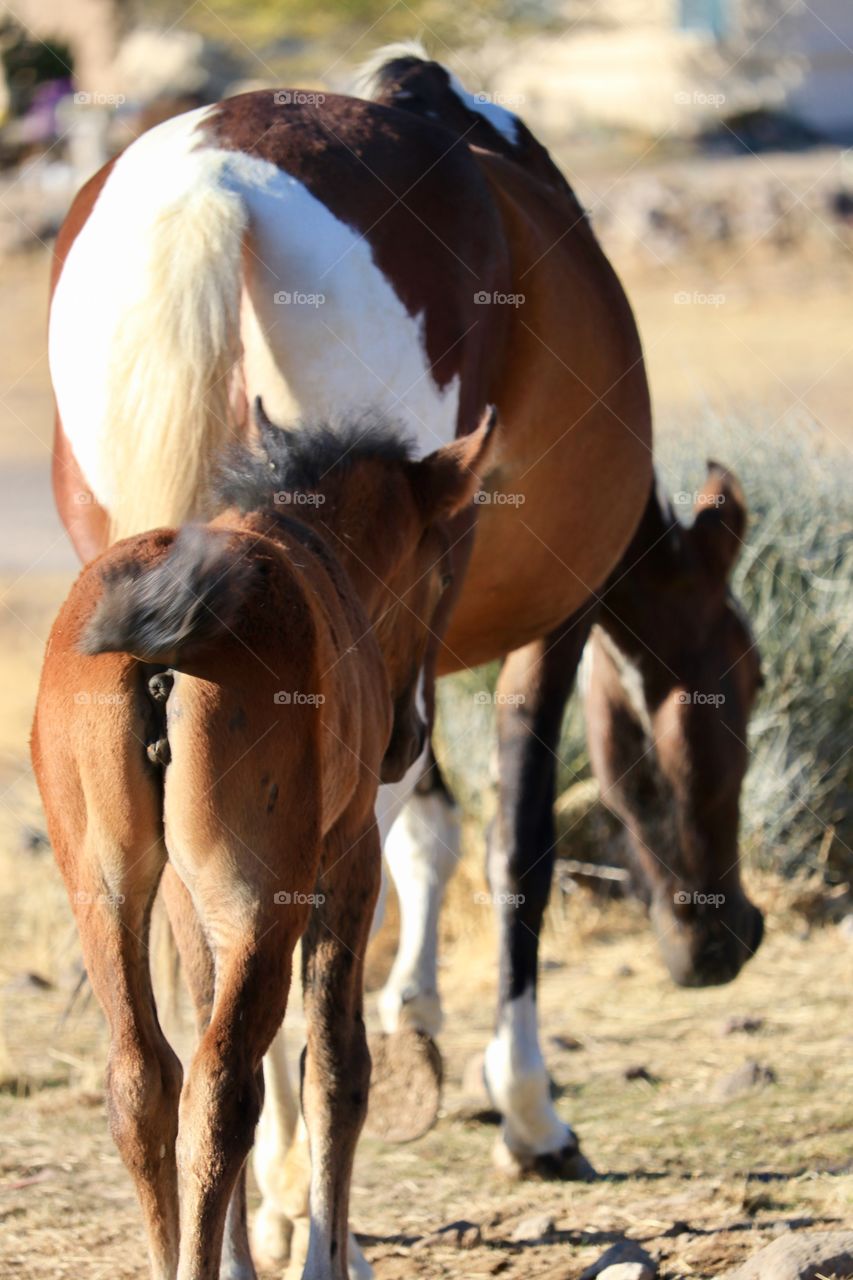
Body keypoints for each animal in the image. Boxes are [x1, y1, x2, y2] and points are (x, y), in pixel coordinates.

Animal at [33, 401, 494, 1280]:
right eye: (438, 576)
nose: (409, 739)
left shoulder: (188, 901)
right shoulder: (348, 858)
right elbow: (336, 1067)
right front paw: (324, 1259)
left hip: (105, 893)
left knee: (146, 1082)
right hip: (263, 901)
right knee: (224, 1087)